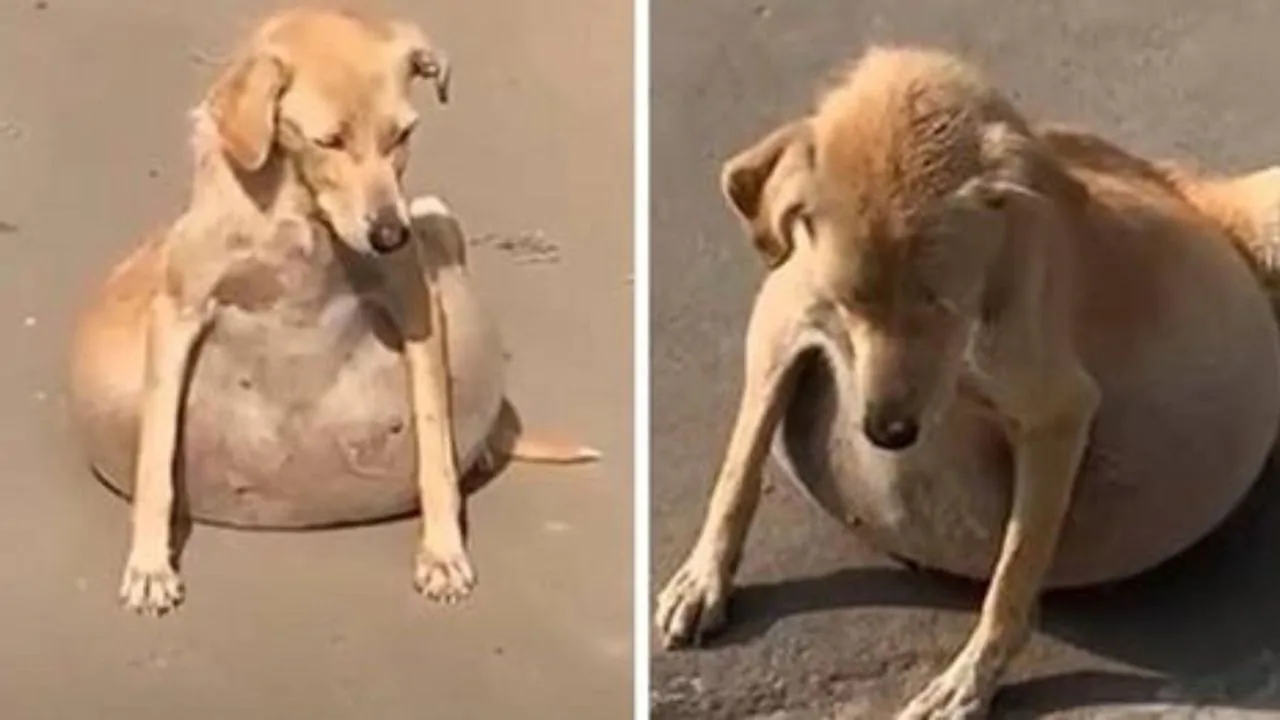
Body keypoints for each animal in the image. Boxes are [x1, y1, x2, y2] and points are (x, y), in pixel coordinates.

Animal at [73, 8, 599, 614]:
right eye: (328, 140)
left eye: (403, 135)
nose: (391, 237)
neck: (300, 214)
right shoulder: (178, 312)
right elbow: (156, 461)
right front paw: (150, 565)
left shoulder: (415, 304)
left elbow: (436, 451)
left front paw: (443, 553)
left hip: (434, 214)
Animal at [655, 47, 1280, 712]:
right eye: (850, 303)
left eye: (942, 302)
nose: (889, 433)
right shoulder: (782, 319)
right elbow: (739, 467)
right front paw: (703, 578)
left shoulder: (1057, 413)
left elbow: (1013, 574)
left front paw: (971, 677)